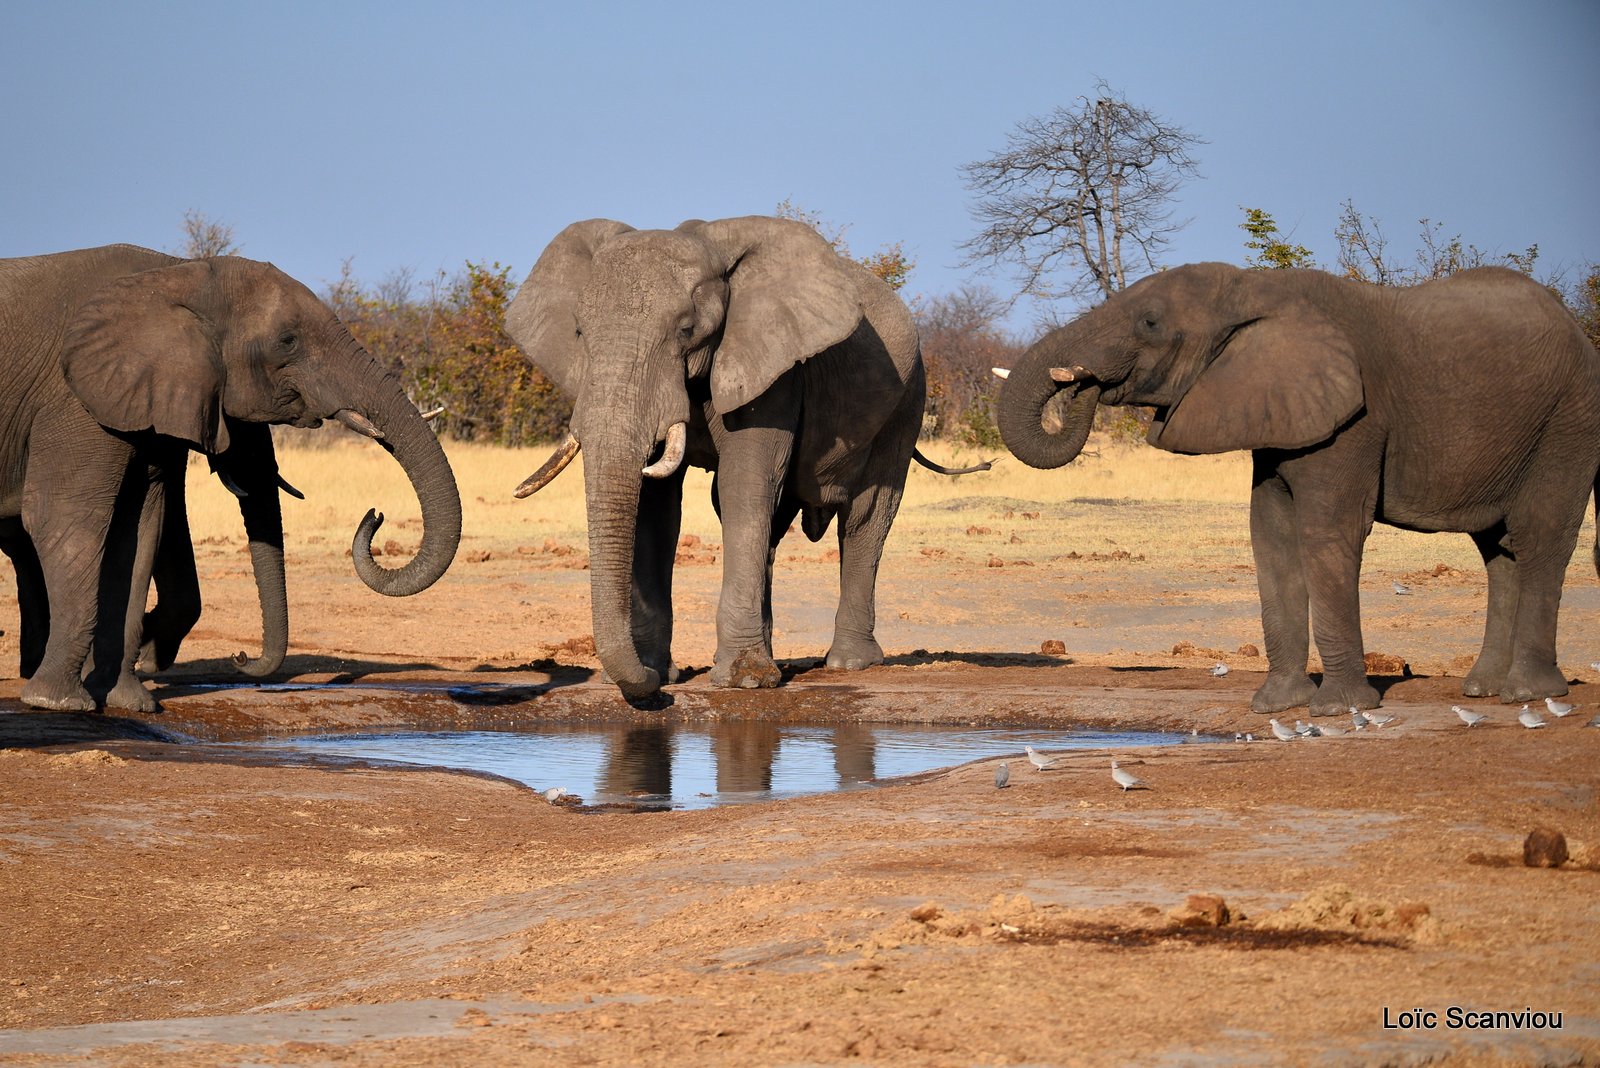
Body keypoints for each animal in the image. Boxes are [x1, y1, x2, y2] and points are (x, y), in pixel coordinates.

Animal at [1, 241, 464, 709]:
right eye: (287, 341)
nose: (374, 515)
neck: (177, 273)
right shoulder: (73, 401)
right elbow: (66, 519)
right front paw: (59, 702)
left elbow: (140, 531)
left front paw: (131, 702)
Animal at [505, 215, 972, 700]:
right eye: (580, 332)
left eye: (687, 329)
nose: (648, 686)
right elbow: (657, 510)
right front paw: (662, 671)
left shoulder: (774, 369)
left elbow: (743, 485)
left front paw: (742, 682)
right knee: (775, 522)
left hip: (908, 397)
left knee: (867, 514)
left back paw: (849, 662)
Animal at [998, 260, 1600, 716]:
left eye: (1149, 322)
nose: (1083, 384)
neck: (1254, 288)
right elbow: (1271, 537)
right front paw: (1274, 706)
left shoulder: (1353, 419)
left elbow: (1326, 533)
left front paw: (1338, 709)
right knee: (1498, 549)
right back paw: (1483, 690)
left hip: (1568, 421)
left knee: (1540, 535)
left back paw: (1528, 694)